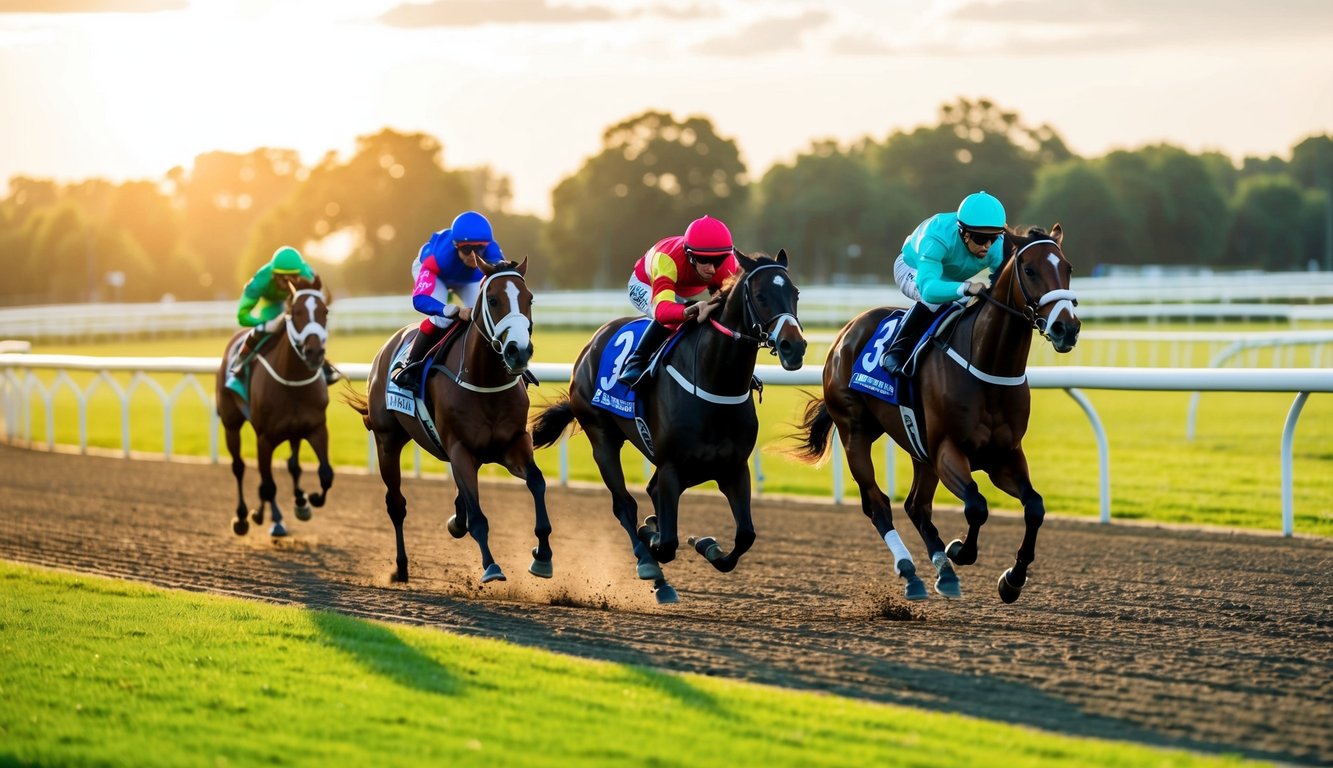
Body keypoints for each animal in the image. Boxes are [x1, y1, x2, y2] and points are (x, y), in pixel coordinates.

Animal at [215, 278, 333, 536]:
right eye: (295, 312)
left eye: (325, 312)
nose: (314, 353)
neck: (293, 381)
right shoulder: (265, 438)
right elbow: (268, 485)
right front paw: (264, 516)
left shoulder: (316, 428)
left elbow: (325, 474)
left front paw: (309, 500)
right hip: (231, 424)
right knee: (239, 467)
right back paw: (245, 516)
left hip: (293, 433)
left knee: (291, 466)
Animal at [343, 258, 551, 581]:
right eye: (493, 300)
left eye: (529, 299)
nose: (519, 351)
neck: (485, 380)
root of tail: (386, 347)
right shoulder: (460, 449)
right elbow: (478, 516)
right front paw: (491, 565)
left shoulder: (513, 443)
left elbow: (537, 482)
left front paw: (542, 555)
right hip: (387, 441)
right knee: (396, 504)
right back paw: (401, 566)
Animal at [527, 249, 799, 602]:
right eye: (762, 295)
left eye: (795, 294)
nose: (795, 346)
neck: (714, 381)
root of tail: (592, 343)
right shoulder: (672, 466)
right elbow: (667, 542)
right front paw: (653, 538)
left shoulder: (734, 467)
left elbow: (745, 536)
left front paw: (707, 544)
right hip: (602, 438)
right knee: (624, 506)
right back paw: (650, 565)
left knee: (650, 492)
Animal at [794, 225, 1077, 602]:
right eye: (1030, 270)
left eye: (1068, 268)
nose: (1067, 328)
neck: (987, 367)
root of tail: (845, 331)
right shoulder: (947, 450)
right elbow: (977, 505)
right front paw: (961, 550)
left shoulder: (1004, 455)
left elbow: (1035, 507)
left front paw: (1012, 579)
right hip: (856, 432)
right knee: (877, 504)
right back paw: (911, 572)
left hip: (918, 447)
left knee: (916, 506)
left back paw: (945, 572)